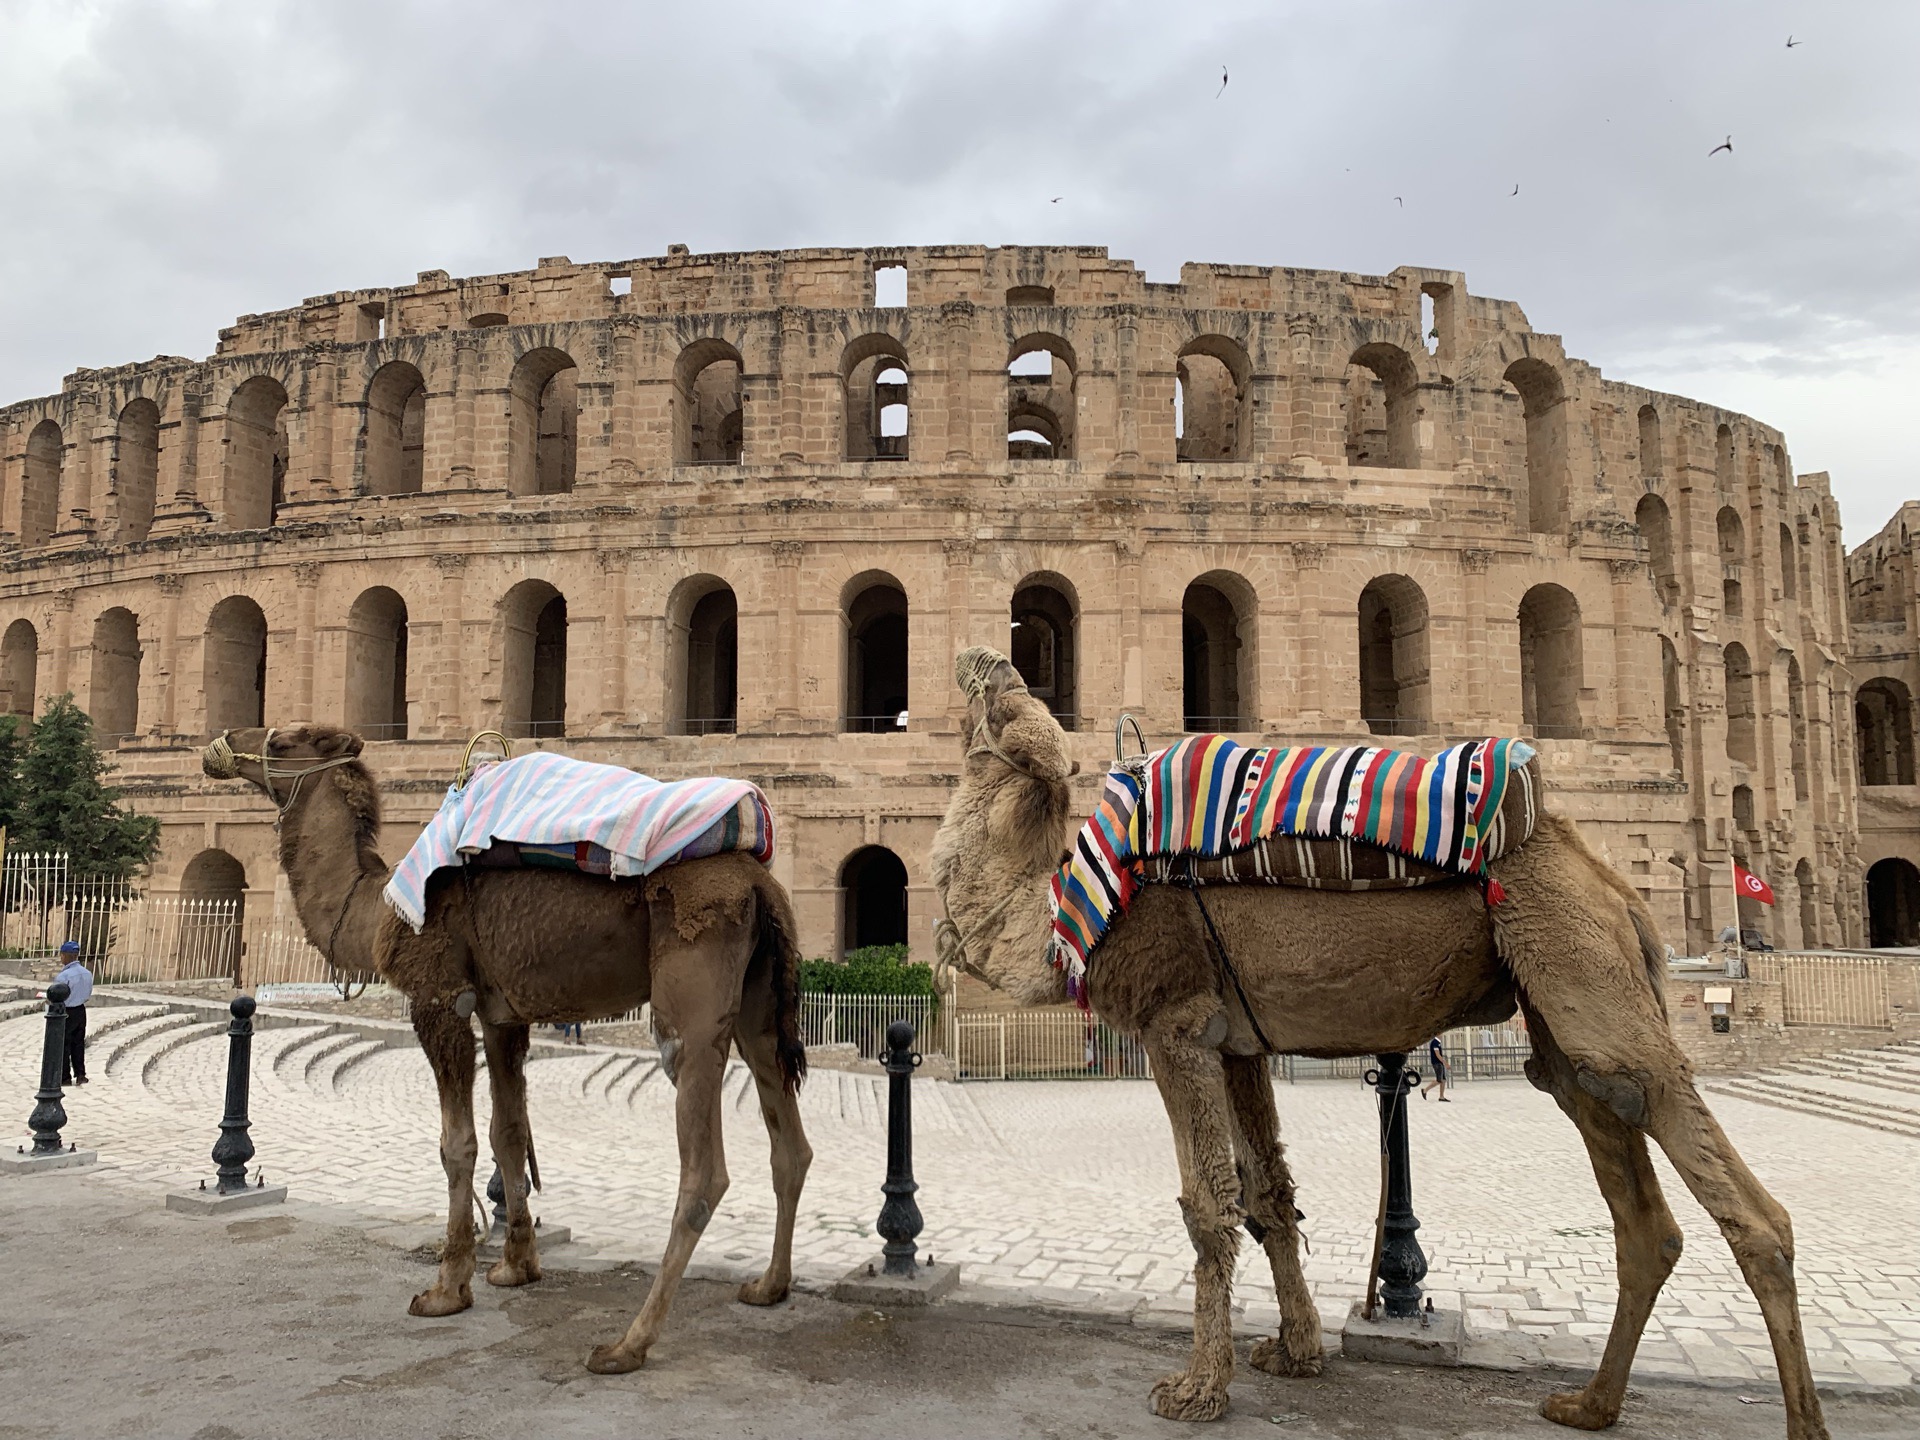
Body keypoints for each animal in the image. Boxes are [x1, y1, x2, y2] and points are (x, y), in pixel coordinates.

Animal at [200, 725, 810, 1382]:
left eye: (284, 740)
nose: (219, 746)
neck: (376, 910)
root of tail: (759, 883)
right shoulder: (501, 1014)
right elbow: (508, 1132)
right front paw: (516, 1266)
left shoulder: (439, 997)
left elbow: (458, 1145)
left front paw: (446, 1289)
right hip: (757, 1003)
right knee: (789, 1143)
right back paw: (768, 1286)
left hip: (691, 994)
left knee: (703, 1170)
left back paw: (626, 1345)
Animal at [929, 656, 1827, 1440]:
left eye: (998, 705)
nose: (979, 663)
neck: (1068, 906)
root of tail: (1606, 877)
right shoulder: (1238, 1042)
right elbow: (1269, 1194)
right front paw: (1294, 1353)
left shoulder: (1173, 1024)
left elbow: (1207, 1208)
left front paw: (1196, 1390)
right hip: (1561, 1014)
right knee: (1639, 1207)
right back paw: (1588, 1404)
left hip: (1584, 974)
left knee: (1753, 1210)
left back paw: (1795, 1419)